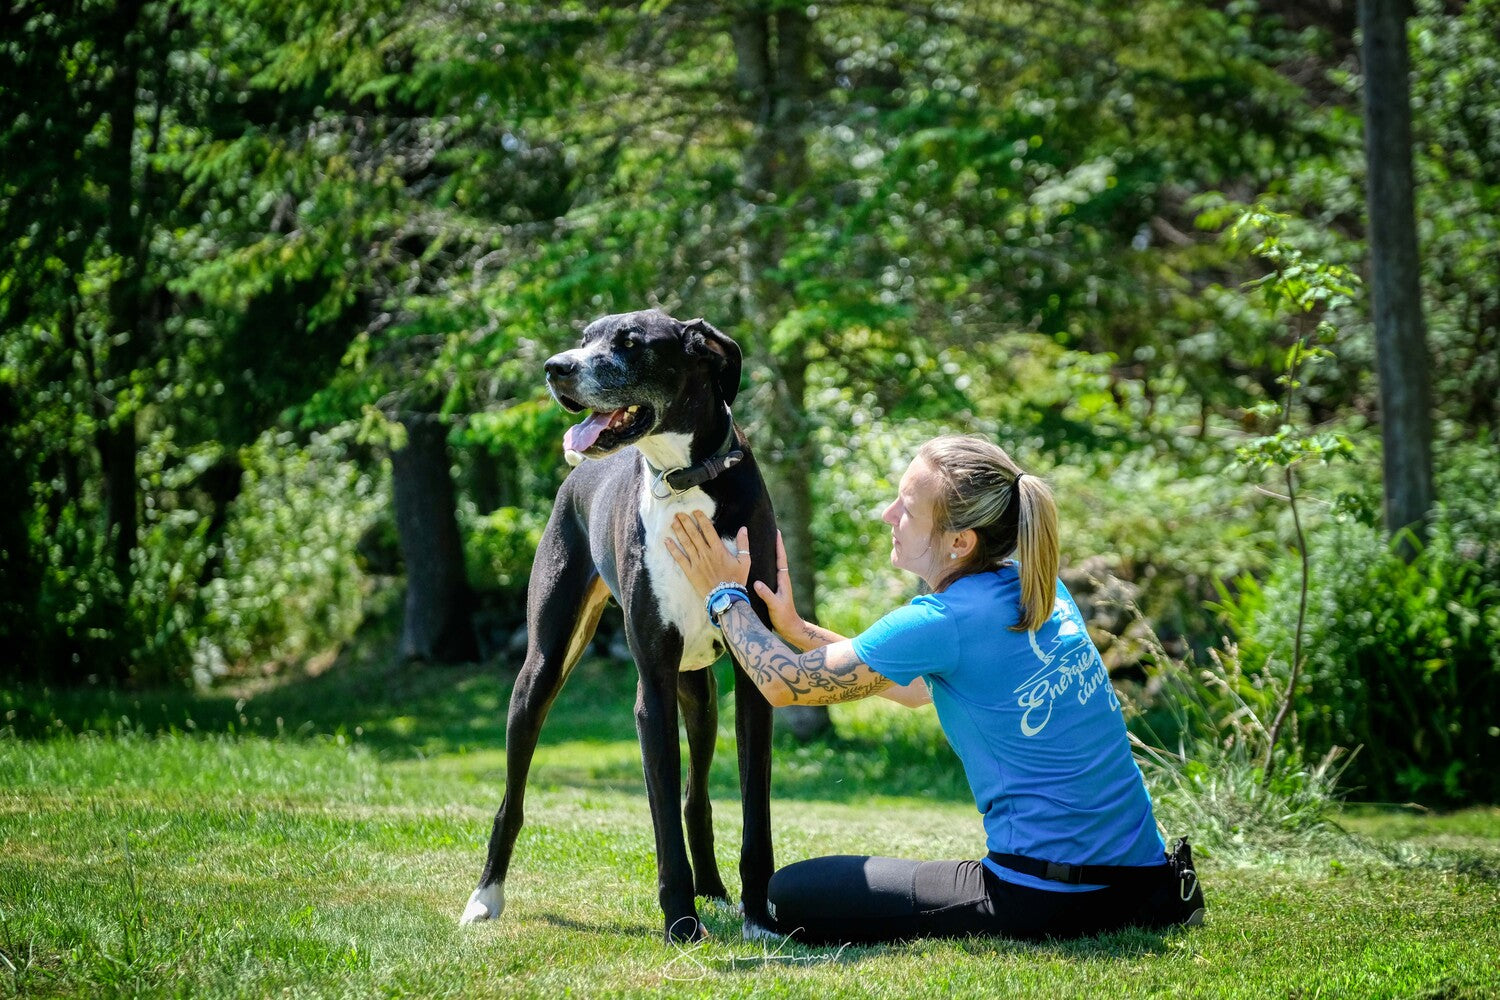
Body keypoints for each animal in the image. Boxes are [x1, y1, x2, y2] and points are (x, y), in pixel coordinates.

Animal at [459, 308, 780, 941]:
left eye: (630, 343)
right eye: (584, 339)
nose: (556, 367)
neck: (682, 479)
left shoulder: (752, 682)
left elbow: (752, 812)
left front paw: (757, 914)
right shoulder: (651, 686)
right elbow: (661, 822)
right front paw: (681, 923)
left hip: (699, 692)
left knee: (696, 796)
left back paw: (714, 889)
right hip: (541, 668)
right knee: (512, 797)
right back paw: (485, 896)